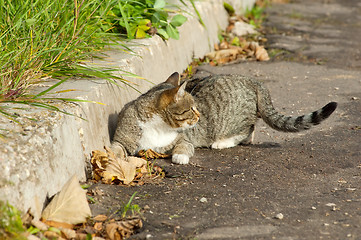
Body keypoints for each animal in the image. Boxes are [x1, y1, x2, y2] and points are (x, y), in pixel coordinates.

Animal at [111, 72, 336, 164]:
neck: (158, 126)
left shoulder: (185, 139)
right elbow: (116, 149)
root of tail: (252, 81)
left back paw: (222, 142)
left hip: (232, 120)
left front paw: (180, 156)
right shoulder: (123, 139)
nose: (199, 114)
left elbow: (183, 147)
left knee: (247, 129)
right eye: (191, 108)